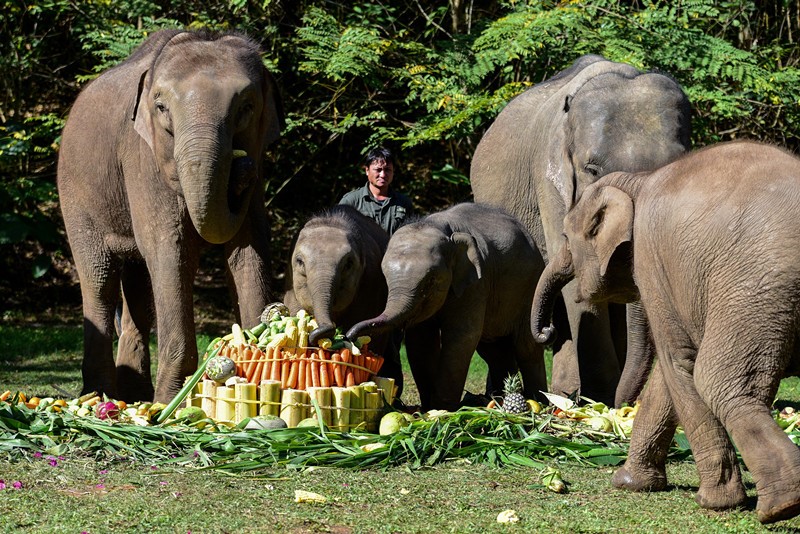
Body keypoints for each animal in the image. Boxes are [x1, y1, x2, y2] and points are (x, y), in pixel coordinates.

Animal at [57, 29, 283, 403]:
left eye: (247, 108)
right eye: (161, 108)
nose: (244, 168)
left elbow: (250, 249)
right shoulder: (142, 156)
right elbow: (171, 250)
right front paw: (171, 400)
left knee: (138, 287)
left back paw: (133, 395)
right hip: (75, 193)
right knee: (100, 278)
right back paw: (100, 395)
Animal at [347, 202, 548, 411]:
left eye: (430, 281)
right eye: (385, 276)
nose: (349, 336)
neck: (439, 227)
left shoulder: (476, 282)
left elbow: (462, 336)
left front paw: (442, 409)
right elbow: (421, 340)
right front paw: (429, 408)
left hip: (530, 287)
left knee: (526, 346)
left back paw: (538, 401)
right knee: (494, 350)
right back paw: (501, 399)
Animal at [531, 141, 800, 524]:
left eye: (567, 237)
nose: (548, 331)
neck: (638, 179)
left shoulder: (651, 259)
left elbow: (678, 362)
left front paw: (714, 502)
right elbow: (667, 375)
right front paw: (630, 483)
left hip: (756, 284)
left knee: (719, 381)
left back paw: (780, 505)